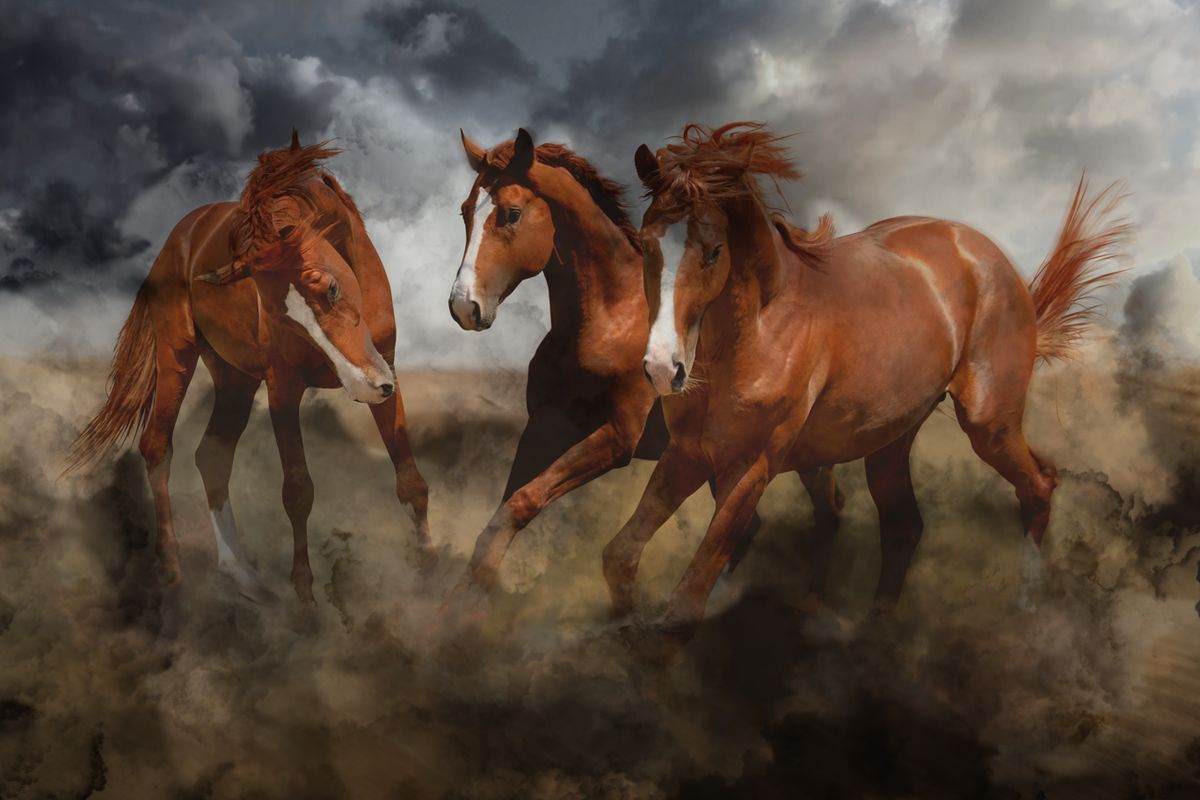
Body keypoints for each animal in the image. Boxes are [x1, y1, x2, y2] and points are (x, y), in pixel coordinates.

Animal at [64, 131, 433, 605]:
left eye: (331, 288)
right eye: (278, 316)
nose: (362, 386)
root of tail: (181, 234)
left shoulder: (387, 370)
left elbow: (409, 479)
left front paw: (433, 574)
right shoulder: (283, 391)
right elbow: (298, 491)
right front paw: (305, 600)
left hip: (235, 379)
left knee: (212, 456)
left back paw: (241, 574)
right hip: (177, 355)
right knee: (157, 447)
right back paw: (173, 571)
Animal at [446, 127, 844, 598]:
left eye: (510, 214)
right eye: (465, 211)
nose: (463, 307)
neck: (607, 319)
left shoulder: (618, 438)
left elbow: (523, 502)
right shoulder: (544, 425)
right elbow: (500, 516)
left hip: (802, 458)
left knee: (829, 513)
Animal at [603, 121, 1128, 648]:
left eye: (714, 252)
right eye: (645, 245)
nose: (663, 369)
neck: (756, 331)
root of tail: (984, 252)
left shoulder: (751, 467)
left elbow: (685, 605)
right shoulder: (688, 453)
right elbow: (620, 556)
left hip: (989, 423)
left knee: (1039, 484)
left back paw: (1027, 611)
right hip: (889, 441)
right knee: (902, 525)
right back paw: (870, 637)